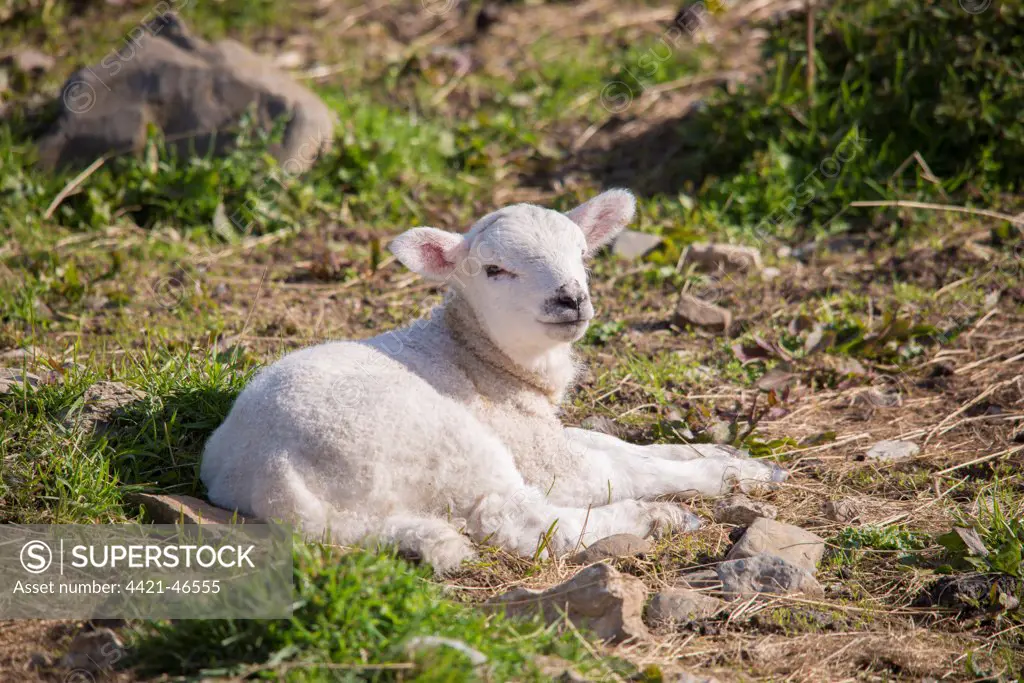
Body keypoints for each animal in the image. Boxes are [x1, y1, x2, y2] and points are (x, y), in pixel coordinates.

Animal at [201, 189, 790, 573]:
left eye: (582, 254)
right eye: (494, 270)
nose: (570, 299)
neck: (477, 353)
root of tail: (273, 476)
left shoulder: (539, 431)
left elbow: (626, 447)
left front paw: (739, 461)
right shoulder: (537, 452)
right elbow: (618, 470)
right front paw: (723, 476)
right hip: (435, 442)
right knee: (518, 520)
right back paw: (655, 519)